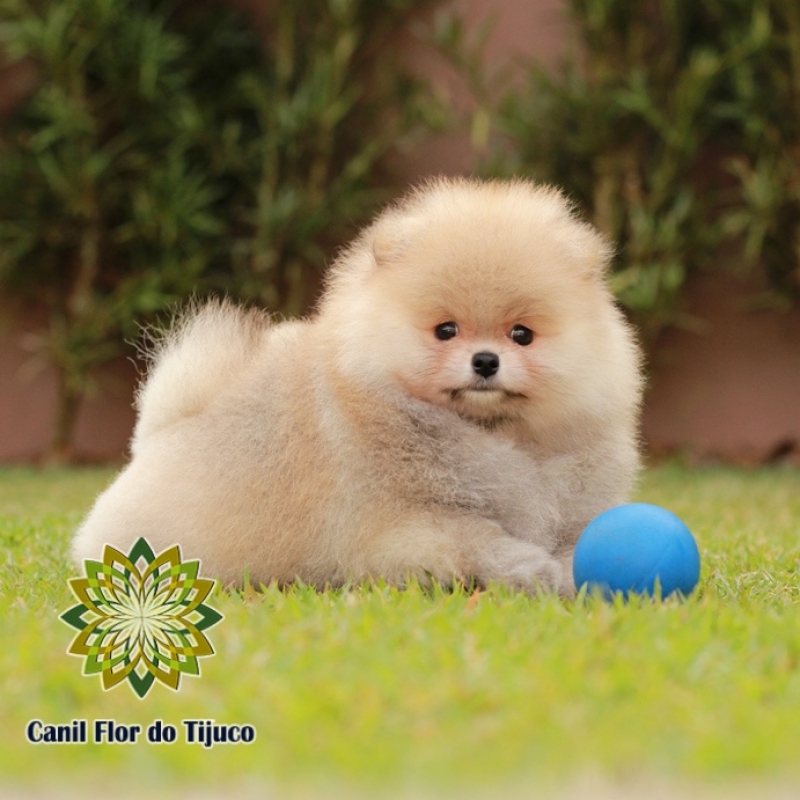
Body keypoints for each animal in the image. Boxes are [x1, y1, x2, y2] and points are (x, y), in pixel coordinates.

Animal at [72, 178, 640, 596]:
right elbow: (481, 542)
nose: (484, 361)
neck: (494, 434)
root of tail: (160, 432)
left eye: (522, 335)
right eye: (446, 330)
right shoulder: (406, 523)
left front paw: (567, 568)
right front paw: (533, 569)